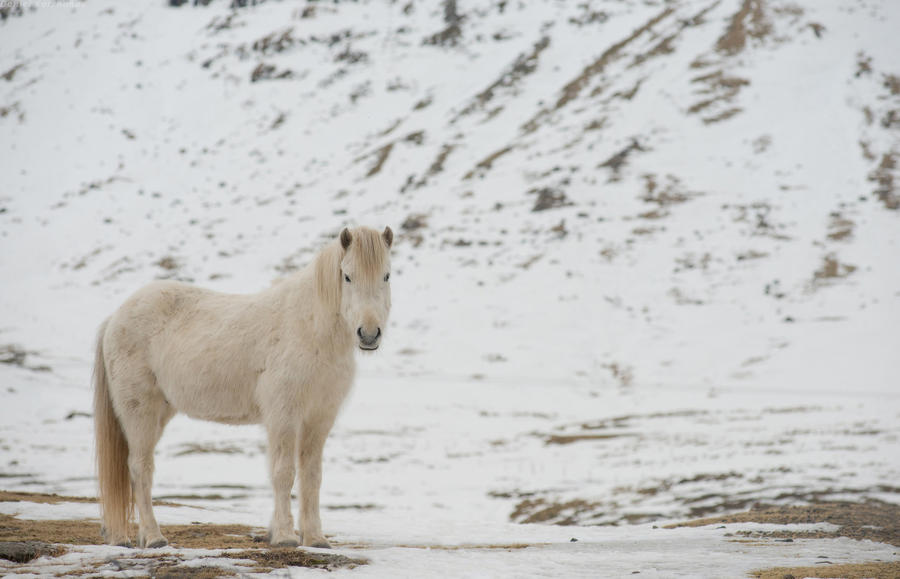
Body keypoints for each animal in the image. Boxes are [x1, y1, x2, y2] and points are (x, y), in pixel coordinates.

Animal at [91, 225, 394, 548]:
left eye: (386, 275)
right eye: (347, 276)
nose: (369, 334)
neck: (311, 330)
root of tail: (115, 317)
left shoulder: (319, 418)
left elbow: (312, 476)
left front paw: (315, 538)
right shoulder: (284, 416)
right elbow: (283, 472)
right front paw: (284, 536)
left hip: (160, 412)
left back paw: (123, 537)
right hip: (140, 413)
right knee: (140, 468)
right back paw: (153, 537)